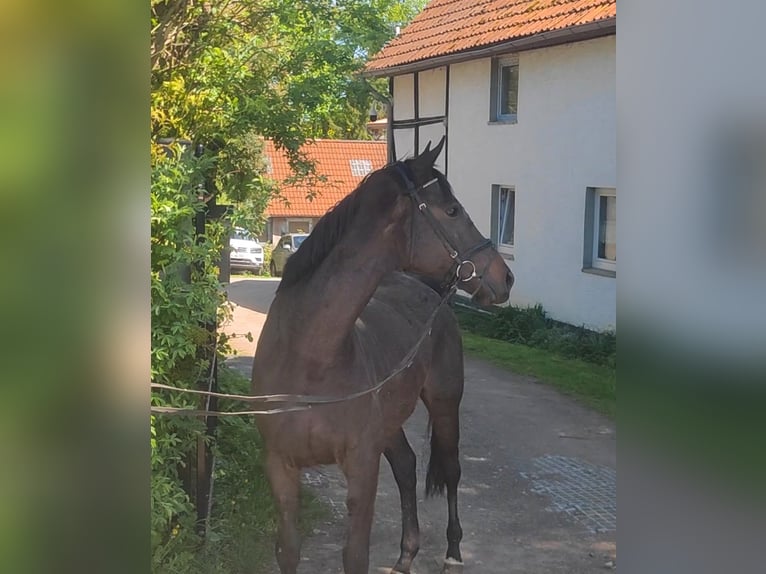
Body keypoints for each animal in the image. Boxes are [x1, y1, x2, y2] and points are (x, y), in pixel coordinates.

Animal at [251, 137, 514, 574]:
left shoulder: (362, 466)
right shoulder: (280, 467)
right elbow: (288, 549)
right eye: (452, 210)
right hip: (391, 421)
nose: (505, 277)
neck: (310, 361)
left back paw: (453, 553)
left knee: (452, 470)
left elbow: (355, 555)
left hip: (444, 403)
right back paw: (406, 557)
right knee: (406, 467)